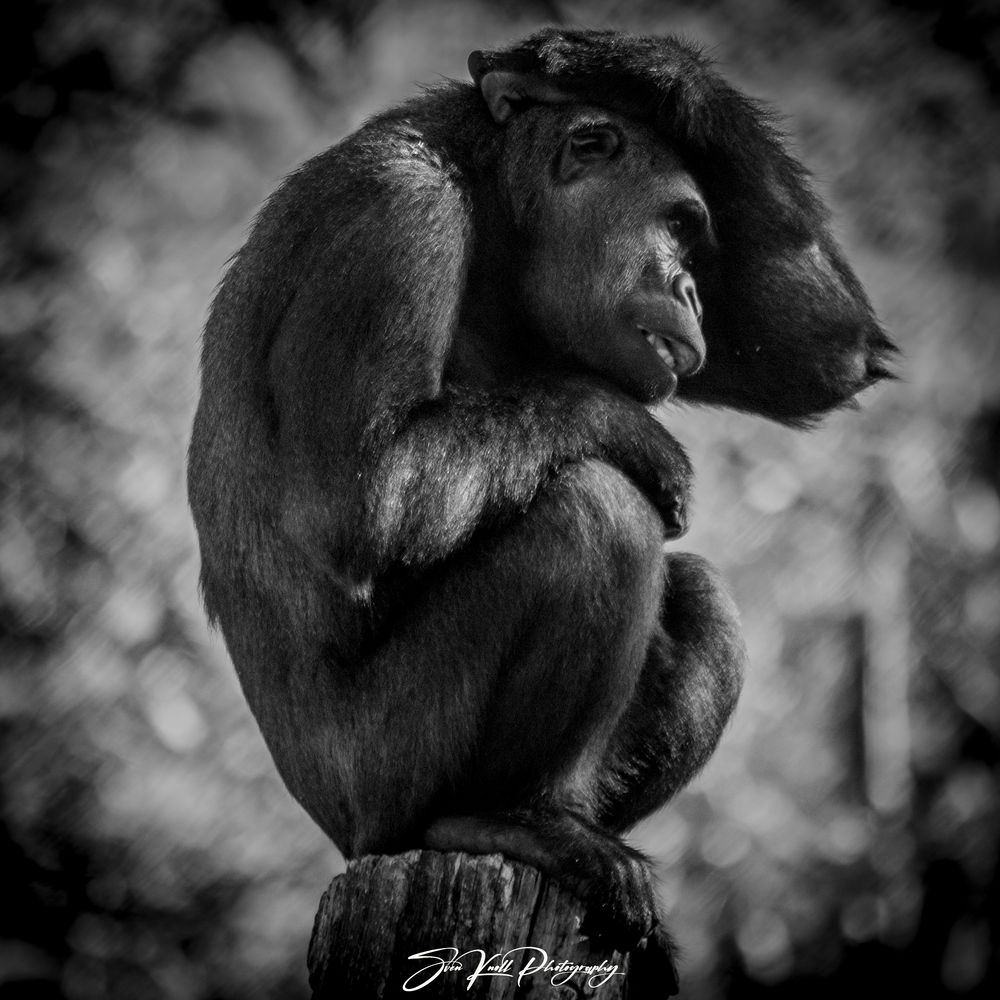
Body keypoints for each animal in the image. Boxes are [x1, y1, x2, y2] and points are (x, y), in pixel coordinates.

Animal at [187, 28, 894, 991]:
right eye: (680, 225)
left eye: (700, 242)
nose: (692, 288)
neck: (495, 224)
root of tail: (346, 839)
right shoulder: (393, 218)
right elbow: (362, 495)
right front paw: (625, 427)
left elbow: (814, 343)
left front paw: (605, 62)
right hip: (385, 774)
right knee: (593, 516)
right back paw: (504, 820)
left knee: (702, 591)